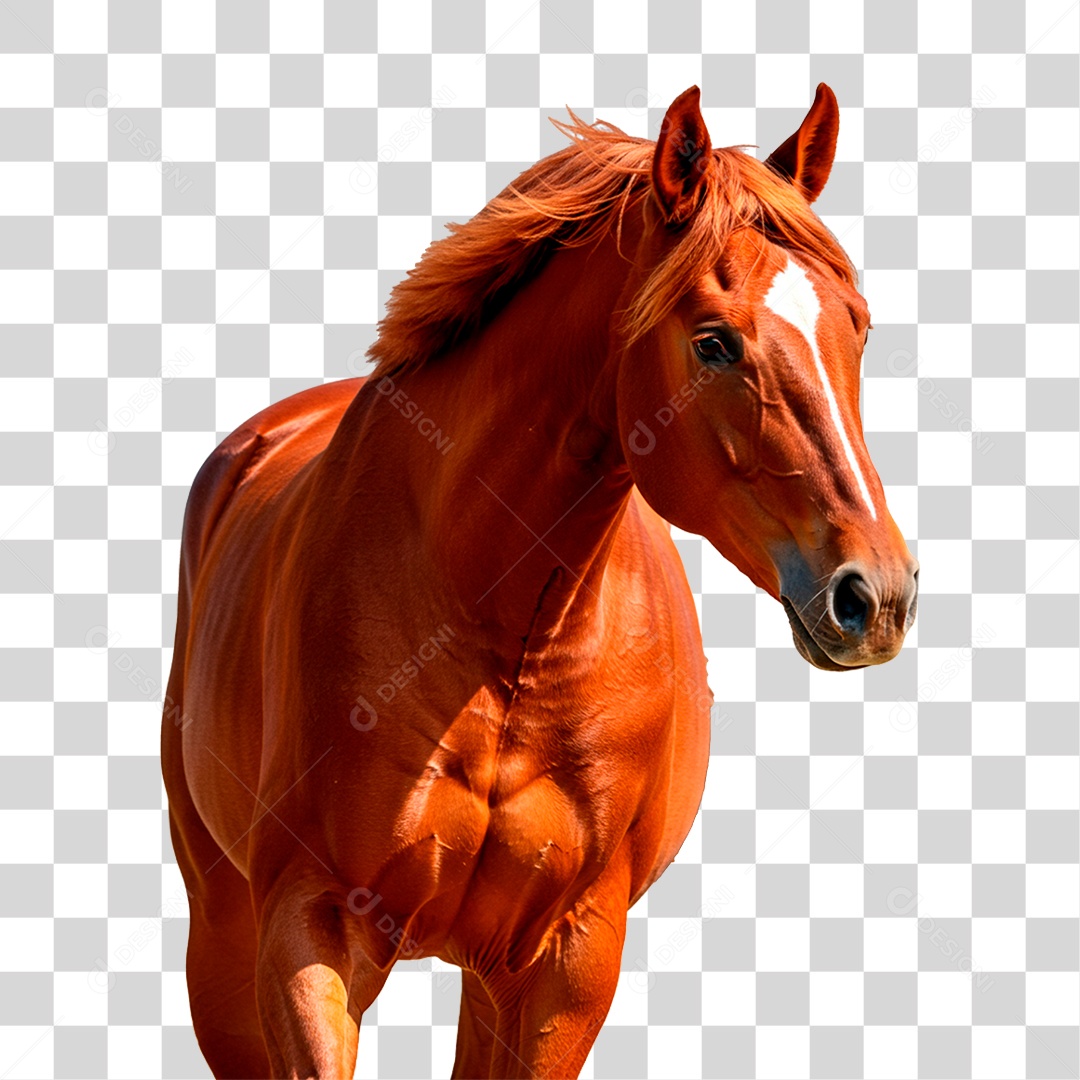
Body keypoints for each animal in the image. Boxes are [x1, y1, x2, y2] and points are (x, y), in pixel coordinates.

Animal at [162, 83, 918, 1079]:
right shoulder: (308, 930)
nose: (876, 594)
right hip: (219, 932)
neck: (501, 631)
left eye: (857, 324)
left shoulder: (567, 957)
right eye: (714, 344)